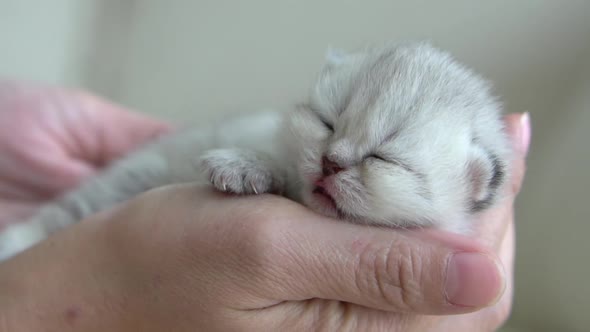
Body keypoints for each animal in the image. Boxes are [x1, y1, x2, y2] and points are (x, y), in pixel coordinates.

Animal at [0, 41, 512, 260]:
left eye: (384, 160)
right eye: (326, 122)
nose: (331, 162)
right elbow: (267, 157)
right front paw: (243, 165)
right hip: (128, 176)